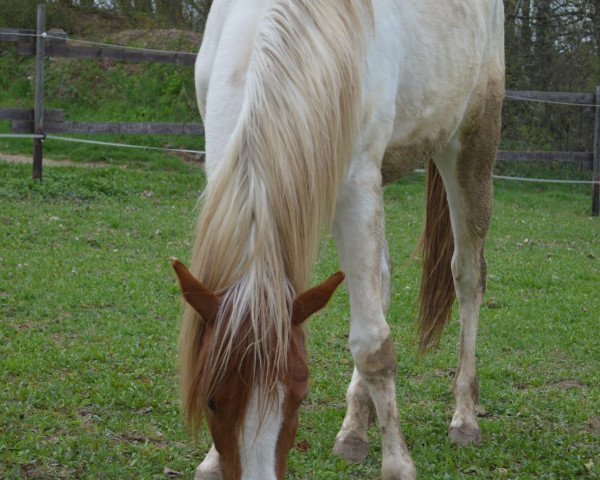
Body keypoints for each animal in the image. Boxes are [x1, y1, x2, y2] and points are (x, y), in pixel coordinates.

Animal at [171, 1, 504, 478]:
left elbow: (374, 345)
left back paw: (464, 418)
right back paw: (354, 430)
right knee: (382, 277)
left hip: (471, 143)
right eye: (211, 399)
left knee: (468, 276)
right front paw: (213, 462)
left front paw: (398, 465)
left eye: (300, 397)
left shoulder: (357, 183)